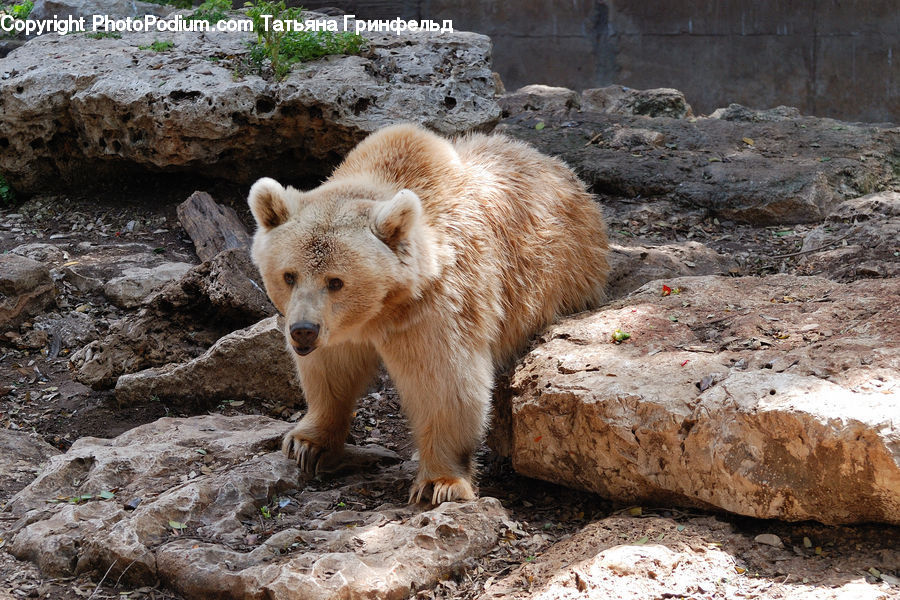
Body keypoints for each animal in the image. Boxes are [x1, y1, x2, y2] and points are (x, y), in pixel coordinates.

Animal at [248, 123, 609, 504]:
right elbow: (331, 369)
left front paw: (440, 483)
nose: (303, 330)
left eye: (336, 281)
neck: (380, 310)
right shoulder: (338, 328)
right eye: (289, 275)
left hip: (564, 275)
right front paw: (306, 443)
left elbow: (445, 382)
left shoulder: (436, 305)